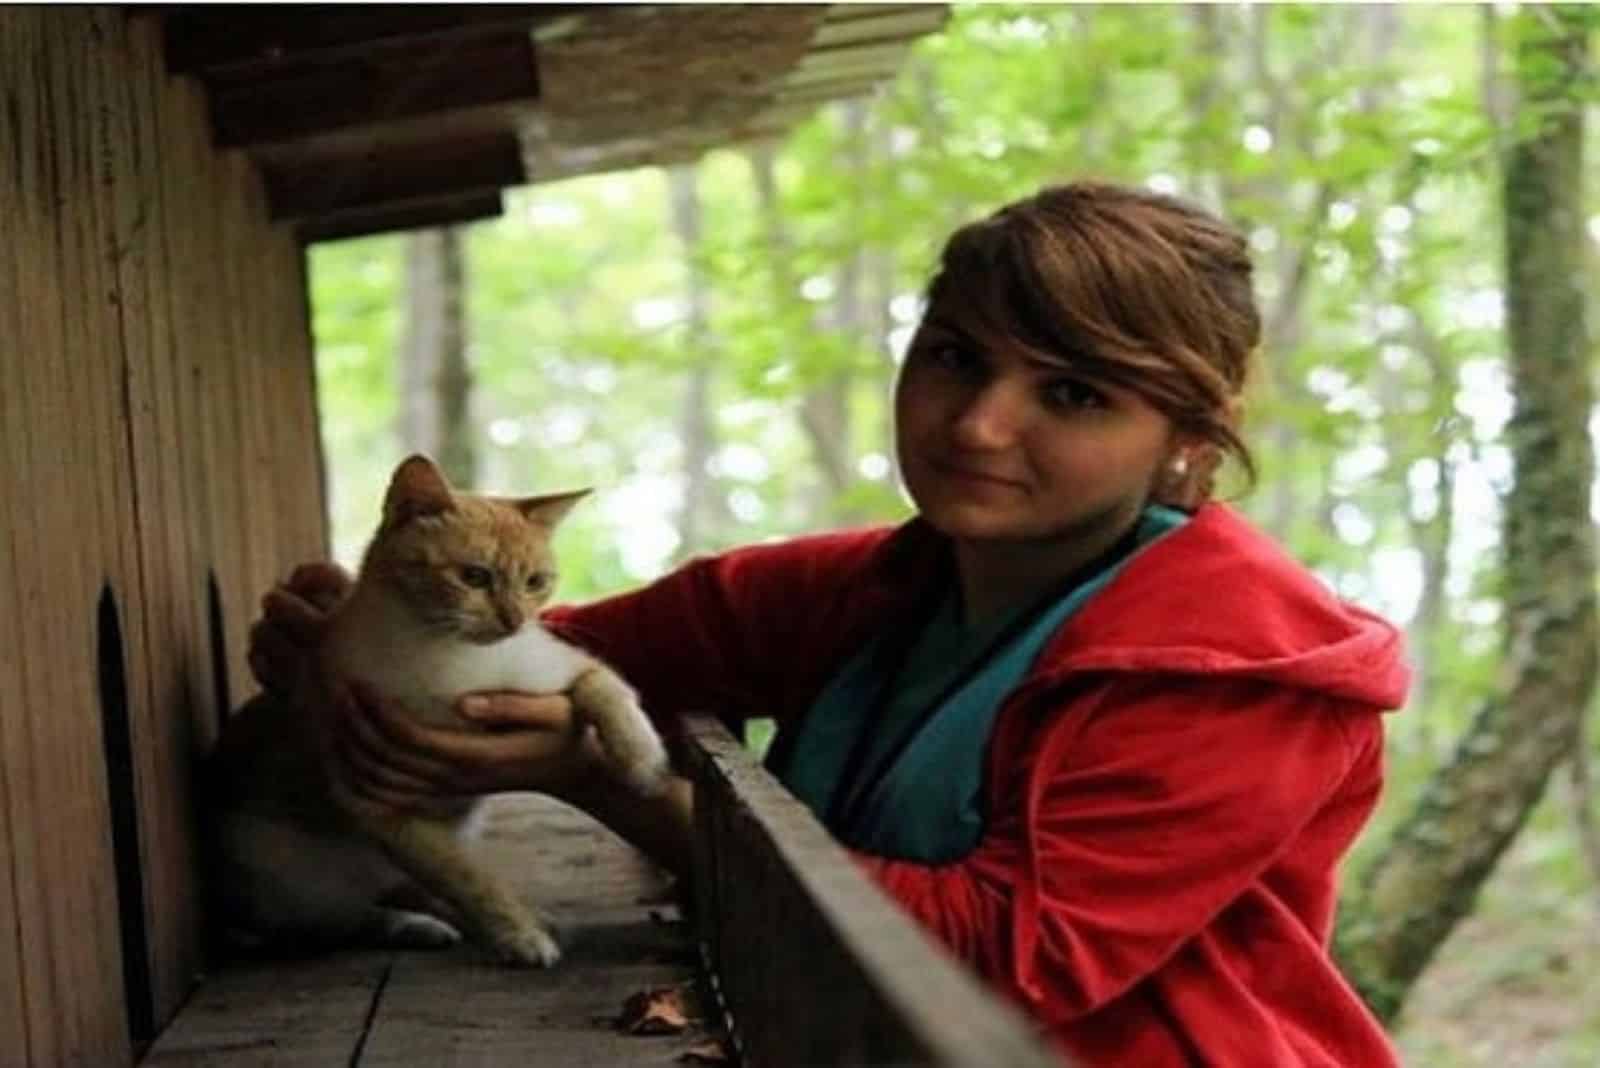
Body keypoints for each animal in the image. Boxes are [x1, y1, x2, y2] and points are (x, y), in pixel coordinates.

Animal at [204, 450, 668, 965]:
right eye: (474, 577)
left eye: (535, 582)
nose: (515, 620)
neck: (454, 655)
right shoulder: (380, 805)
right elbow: (469, 880)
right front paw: (519, 934)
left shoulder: (559, 666)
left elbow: (609, 690)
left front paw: (640, 760)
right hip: (287, 874)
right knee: (339, 920)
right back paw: (414, 926)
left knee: (404, 891)